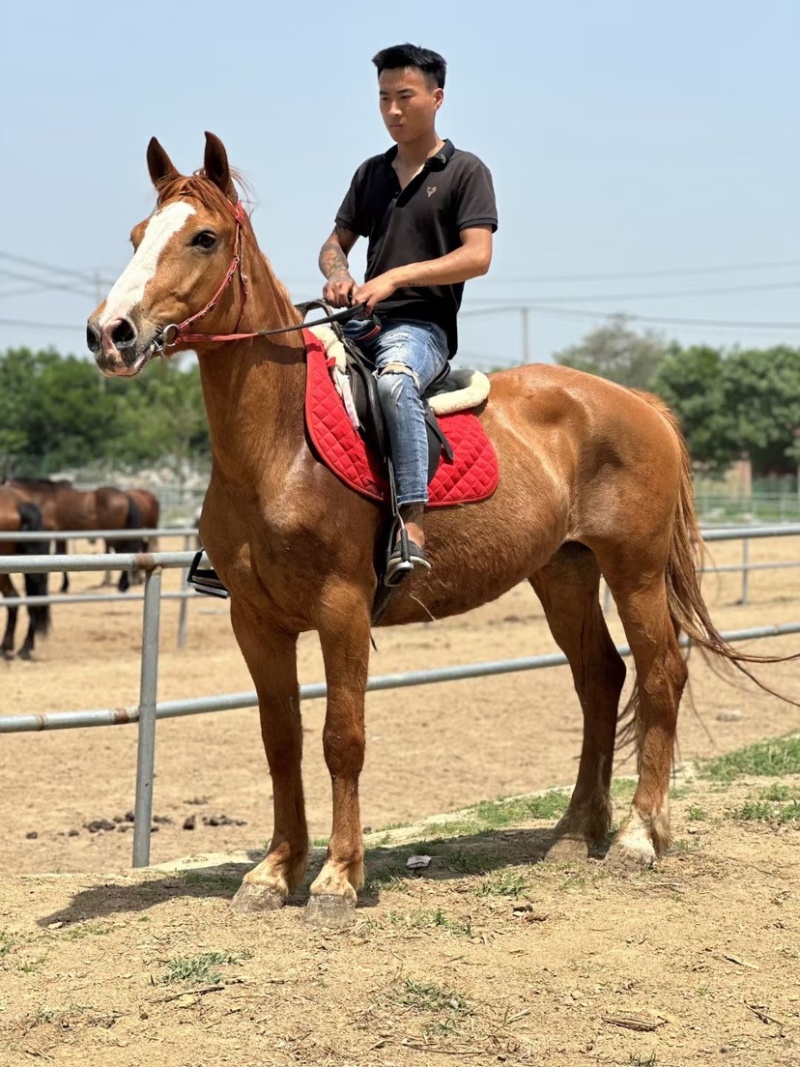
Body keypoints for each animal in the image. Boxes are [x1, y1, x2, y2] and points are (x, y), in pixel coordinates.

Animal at [87, 133, 788, 924]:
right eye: (138, 237)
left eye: (202, 237)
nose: (109, 333)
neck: (280, 448)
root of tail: (637, 402)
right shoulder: (255, 620)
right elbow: (280, 739)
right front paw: (274, 872)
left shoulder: (342, 609)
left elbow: (342, 738)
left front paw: (338, 878)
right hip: (565, 572)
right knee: (600, 678)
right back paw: (575, 831)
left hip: (633, 570)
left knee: (661, 673)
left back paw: (640, 835)